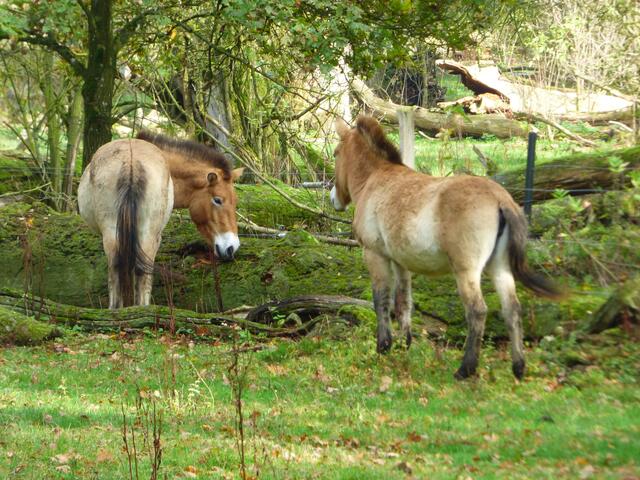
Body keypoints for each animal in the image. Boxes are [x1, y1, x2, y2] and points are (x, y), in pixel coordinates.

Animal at [330, 116, 563, 380]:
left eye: (336, 153)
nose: (333, 198)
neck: (375, 179)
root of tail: (500, 199)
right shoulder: (401, 262)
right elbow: (403, 302)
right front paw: (404, 345)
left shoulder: (375, 255)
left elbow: (381, 300)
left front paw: (384, 347)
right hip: (500, 268)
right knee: (512, 309)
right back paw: (518, 368)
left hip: (466, 272)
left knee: (477, 311)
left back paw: (465, 369)